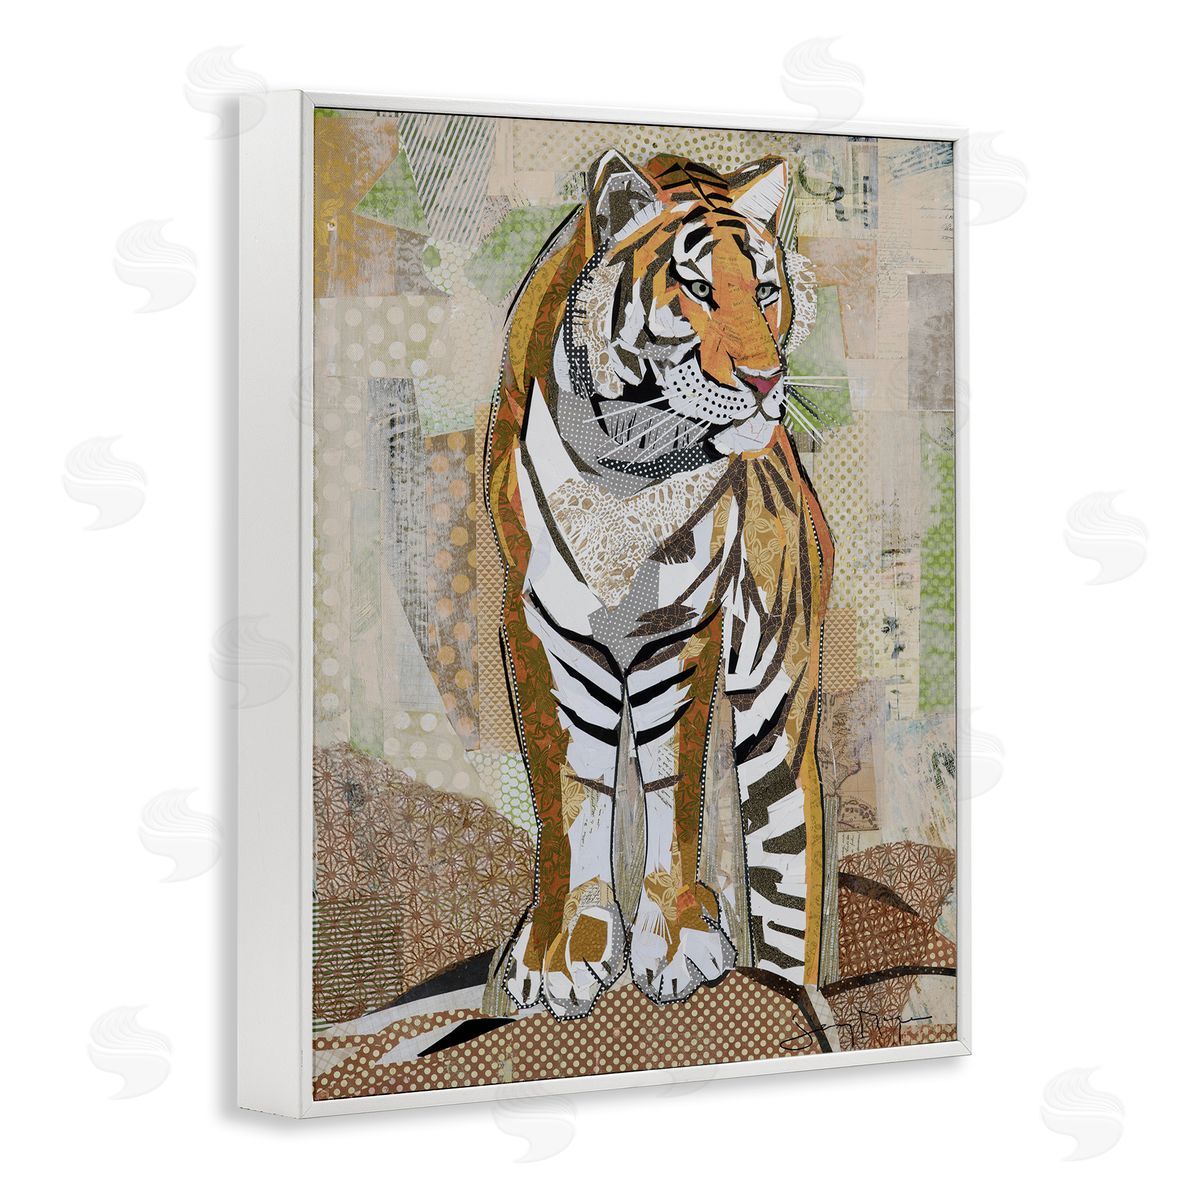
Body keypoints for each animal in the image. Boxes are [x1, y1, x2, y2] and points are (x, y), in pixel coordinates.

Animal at [485, 149, 834, 1020]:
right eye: (700, 289)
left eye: (765, 290)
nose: (765, 380)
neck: (626, 469)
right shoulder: (540, 624)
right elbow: (568, 795)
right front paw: (561, 953)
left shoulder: (680, 630)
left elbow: (675, 792)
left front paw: (676, 943)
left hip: (779, 722)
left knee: (785, 873)